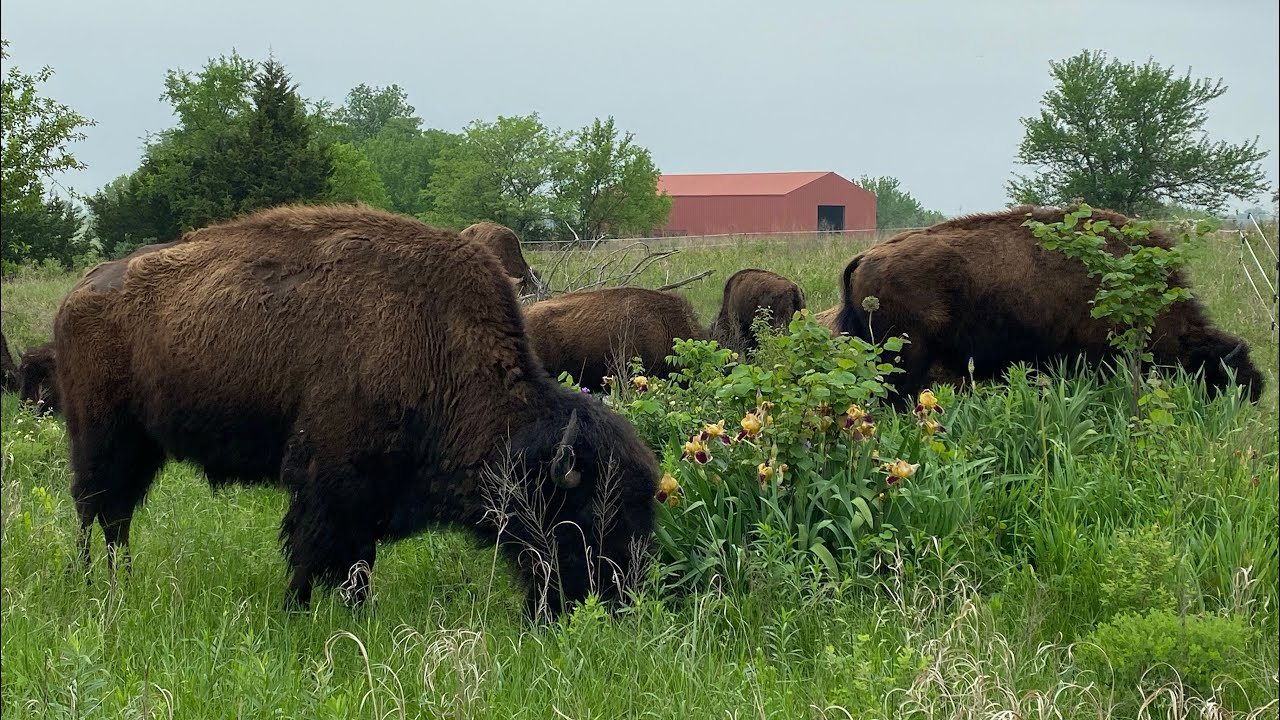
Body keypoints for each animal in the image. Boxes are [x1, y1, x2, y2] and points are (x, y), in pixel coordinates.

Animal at [54, 205, 660, 618]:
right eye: (586, 513)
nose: (618, 599)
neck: (439, 341)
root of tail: (79, 291)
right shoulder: (329, 478)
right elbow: (315, 549)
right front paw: (300, 611)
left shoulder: (370, 492)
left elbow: (355, 560)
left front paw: (350, 612)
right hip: (100, 435)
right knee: (93, 507)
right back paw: (91, 586)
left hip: (142, 445)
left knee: (117, 515)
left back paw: (121, 582)